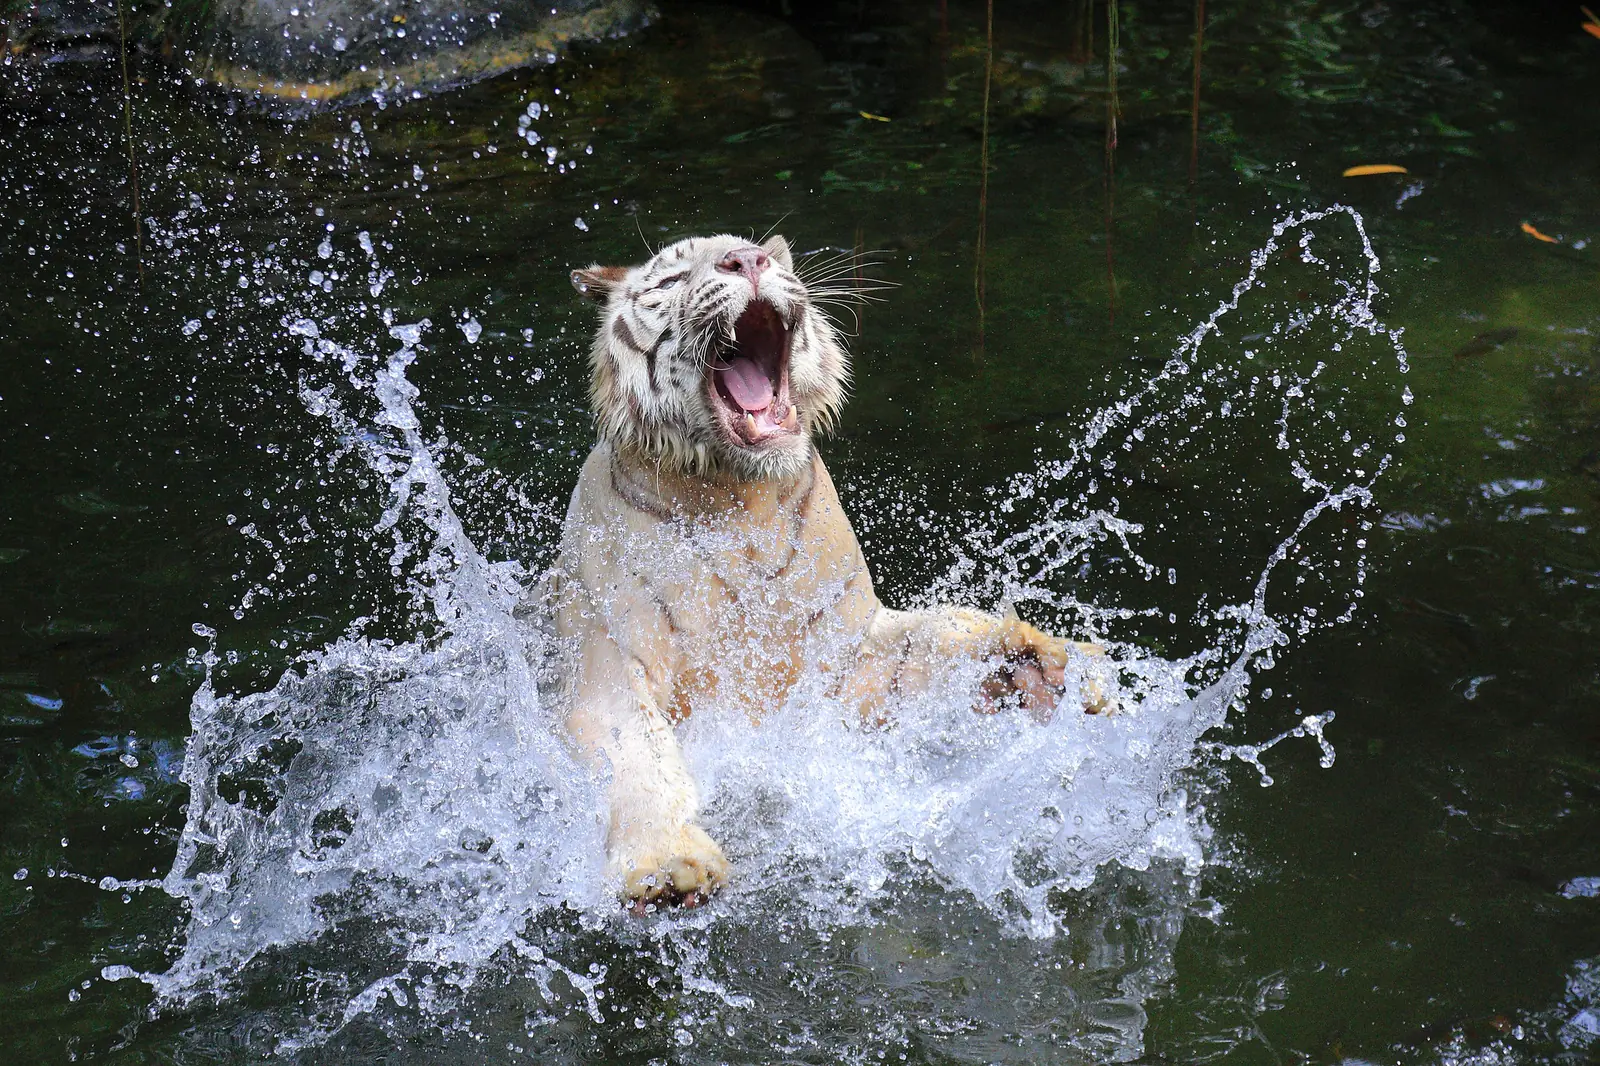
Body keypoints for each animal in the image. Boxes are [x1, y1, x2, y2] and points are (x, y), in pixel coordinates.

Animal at [540, 233, 1110, 911]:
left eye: (756, 252)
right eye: (674, 276)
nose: (748, 261)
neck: (744, 503)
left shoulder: (846, 654)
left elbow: (933, 641)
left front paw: (1032, 661)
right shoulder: (607, 658)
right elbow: (640, 753)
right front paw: (667, 864)